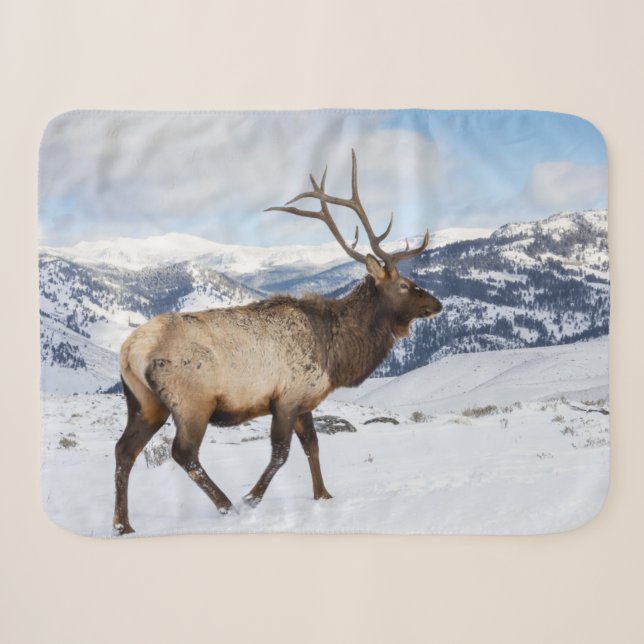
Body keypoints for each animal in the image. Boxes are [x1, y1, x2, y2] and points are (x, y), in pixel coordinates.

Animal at [113, 150, 442, 534]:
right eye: (404, 285)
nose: (437, 303)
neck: (336, 354)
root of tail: (130, 350)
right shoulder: (285, 398)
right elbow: (282, 453)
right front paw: (251, 498)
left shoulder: (304, 401)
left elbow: (313, 446)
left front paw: (323, 495)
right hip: (192, 402)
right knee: (183, 453)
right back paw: (226, 505)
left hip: (144, 402)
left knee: (124, 450)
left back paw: (123, 524)